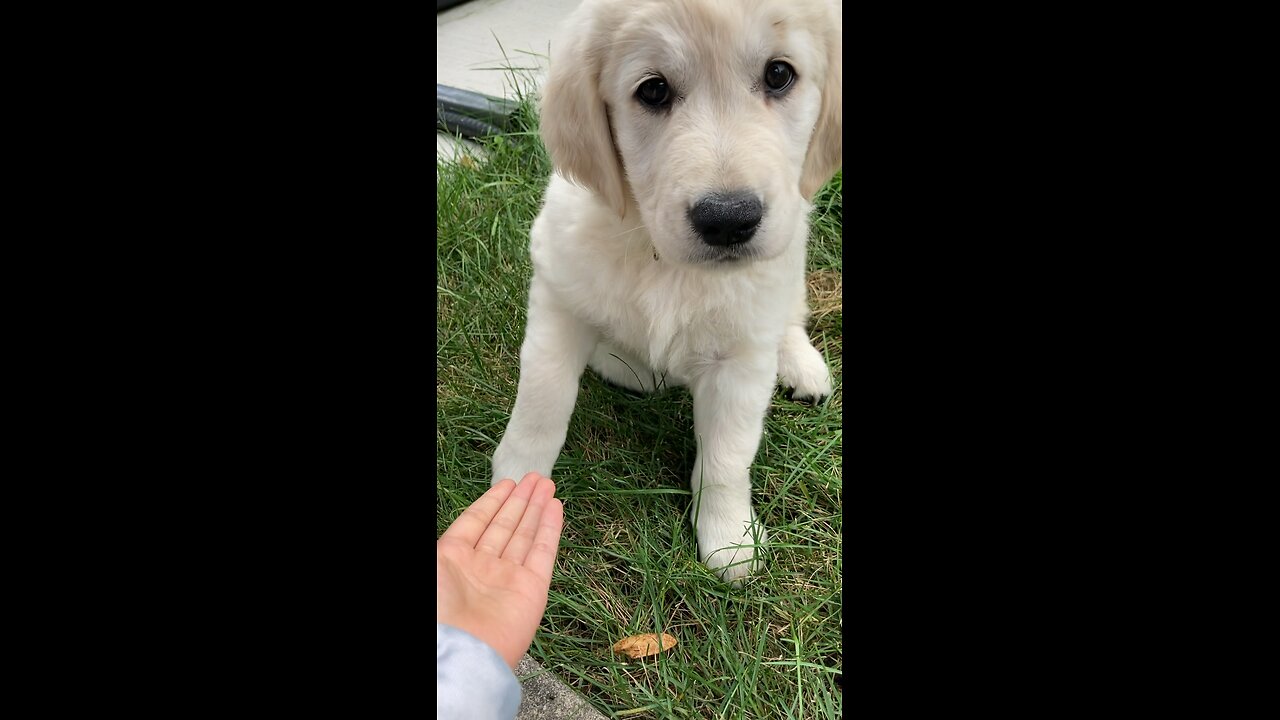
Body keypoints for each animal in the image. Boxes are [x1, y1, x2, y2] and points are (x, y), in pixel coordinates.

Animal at [488, 0, 839, 584]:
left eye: (779, 74)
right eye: (653, 90)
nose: (729, 220)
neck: (662, 258)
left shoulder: (741, 358)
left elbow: (727, 455)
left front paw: (728, 540)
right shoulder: (560, 295)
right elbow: (542, 398)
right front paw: (516, 484)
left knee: (790, 314)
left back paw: (801, 365)